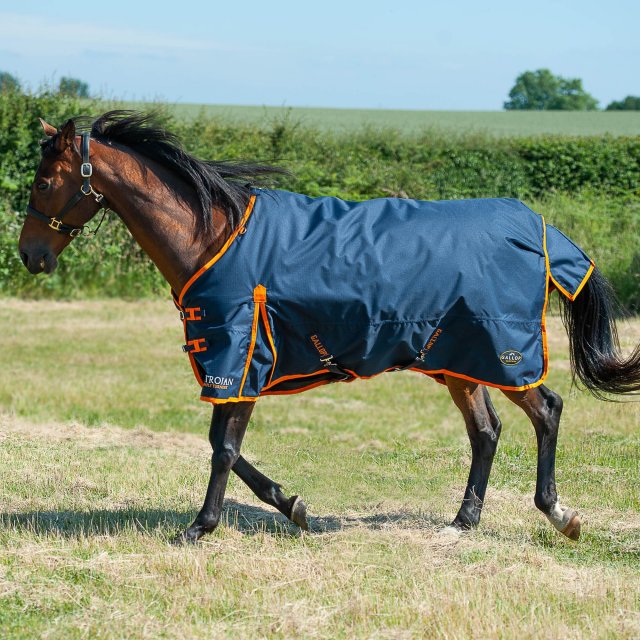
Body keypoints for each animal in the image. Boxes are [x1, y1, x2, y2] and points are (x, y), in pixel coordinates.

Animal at [18, 111, 640, 544]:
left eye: (44, 182)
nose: (29, 256)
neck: (213, 234)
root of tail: (537, 227)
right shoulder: (239, 364)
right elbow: (227, 448)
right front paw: (292, 505)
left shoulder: (240, 357)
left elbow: (223, 447)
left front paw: (200, 526)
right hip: (457, 359)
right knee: (486, 432)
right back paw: (462, 522)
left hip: (501, 353)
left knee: (547, 411)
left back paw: (560, 514)